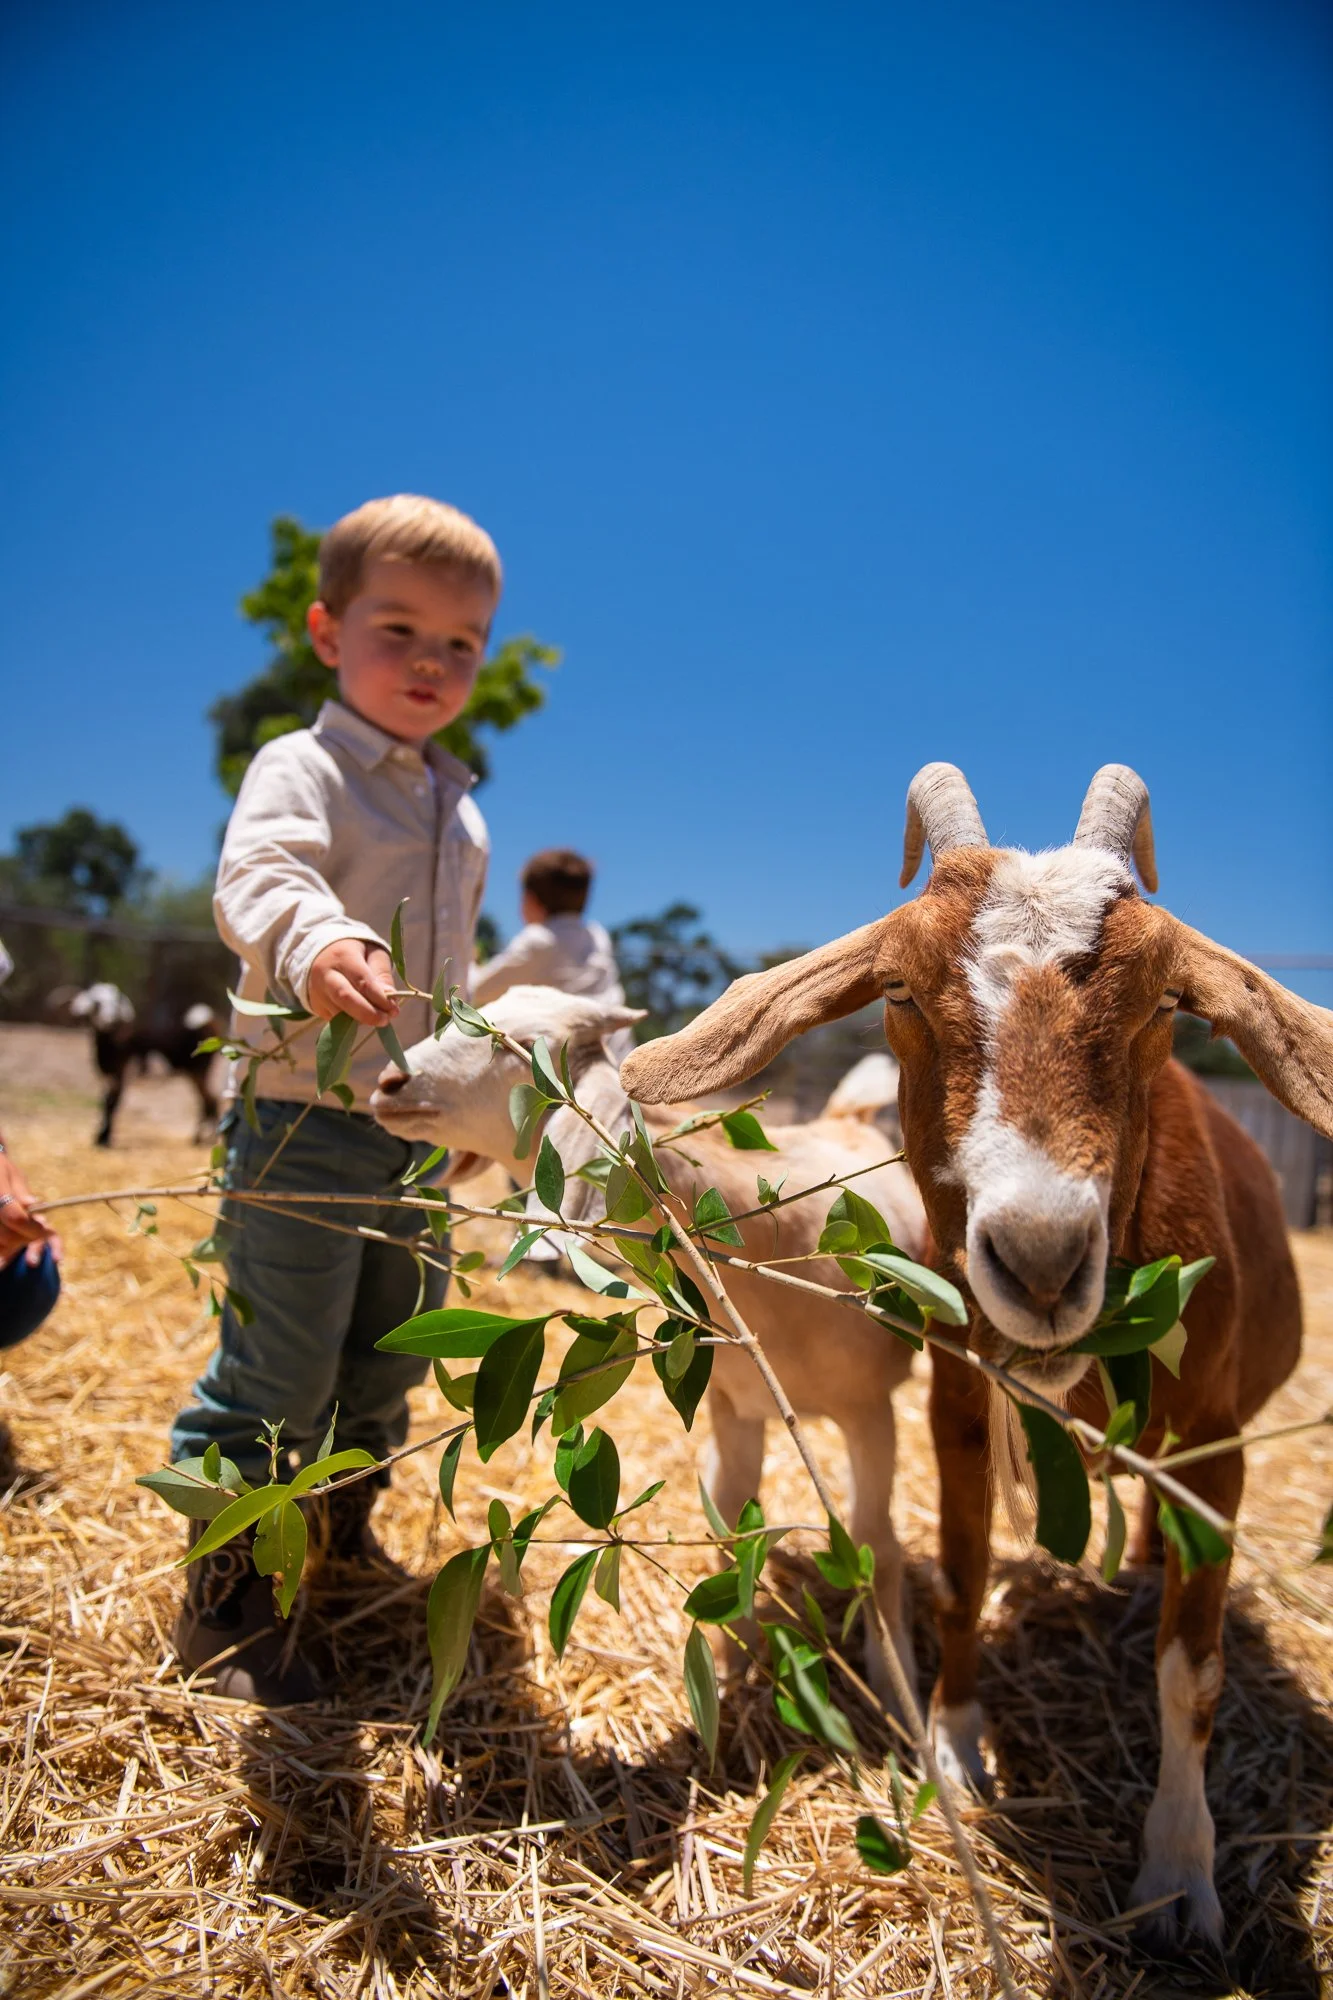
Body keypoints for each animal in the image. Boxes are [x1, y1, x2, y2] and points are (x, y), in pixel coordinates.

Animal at [68, 983, 222, 1147]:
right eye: (96, 1004)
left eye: (116, 1003)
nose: (110, 1020)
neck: (112, 1044)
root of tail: (206, 1027)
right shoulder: (109, 1078)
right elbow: (104, 1102)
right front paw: (99, 1137)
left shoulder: (123, 1074)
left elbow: (112, 1103)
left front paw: (104, 1139)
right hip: (194, 1075)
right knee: (207, 1100)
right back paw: (201, 1137)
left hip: (199, 1072)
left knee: (211, 1100)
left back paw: (208, 1137)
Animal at [369, 983, 928, 1706]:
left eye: (516, 1045)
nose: (387, 1084)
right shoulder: (735, 1402)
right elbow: (733, 1521)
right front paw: (730, 1664)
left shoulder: (870, 1410)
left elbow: (876, 1544)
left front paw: (901, 1696)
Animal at [621, 763, 1332, 1955]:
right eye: (900, 992)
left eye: (1164, 1003)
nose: (1039, 1259)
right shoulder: (954, 1407)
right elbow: (953, 1580)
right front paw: (951, 1755)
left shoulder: (1213, 1442)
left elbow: (1190, 1670)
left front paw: (1179, 1874)